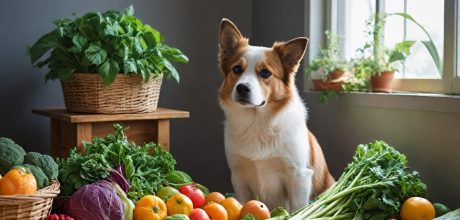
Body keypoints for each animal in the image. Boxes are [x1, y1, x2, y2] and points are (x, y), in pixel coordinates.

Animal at [217, 18, 334, 211]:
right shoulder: (238, 175)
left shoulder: (299, 176)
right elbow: (241, 205)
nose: (242, 88)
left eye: (265, 73)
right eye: (236, 69)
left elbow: (296, 210)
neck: (256, 122)